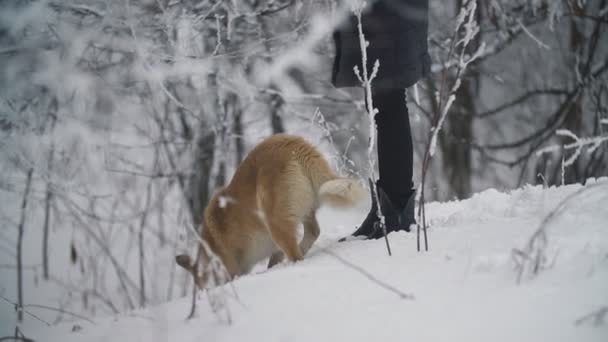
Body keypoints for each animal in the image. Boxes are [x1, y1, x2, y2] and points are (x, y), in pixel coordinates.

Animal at [176, 134, 366, 288]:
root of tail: (293, 145)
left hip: (275, 223)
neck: (209, 251)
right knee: (312, 232)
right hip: (303, 212)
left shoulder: (231, 267)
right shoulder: (274, 252)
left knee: (297, 254)